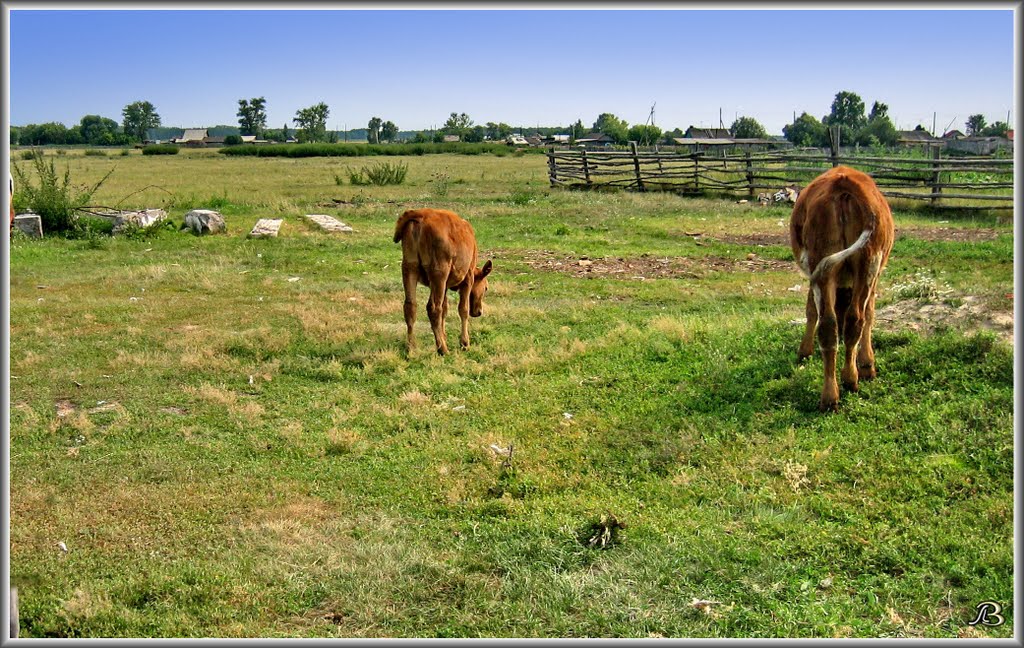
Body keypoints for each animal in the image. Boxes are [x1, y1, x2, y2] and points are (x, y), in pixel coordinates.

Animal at [391, 206, 491, 356]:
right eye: (485, 288)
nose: (479, 312)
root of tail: (422, 214)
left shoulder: (444, 286)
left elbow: (445, 309)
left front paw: (443, 336)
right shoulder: (467, 278)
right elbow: (463, 309)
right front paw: (464, 343)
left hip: (409, 268)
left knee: (410, 306)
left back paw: (412, 348)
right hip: (439, 272)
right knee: (433, 308)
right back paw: (442, 349)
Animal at [786, 163, 892, 411]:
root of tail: (845, 181)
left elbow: (812, 311)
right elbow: (870, 314)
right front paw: (867, 364)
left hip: (831, 267)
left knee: (834, 324)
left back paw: (833, 393)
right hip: (864, 265)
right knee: (853, 319)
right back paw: (848, 381)